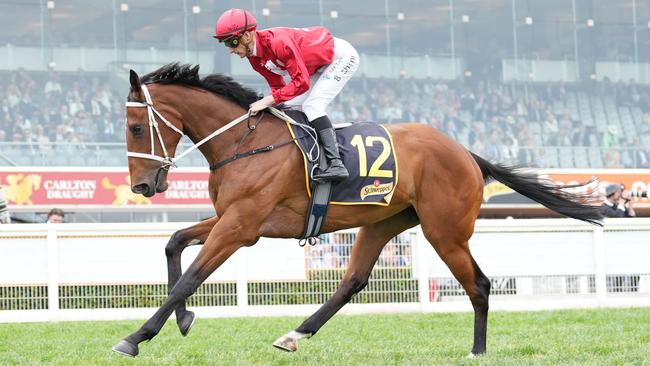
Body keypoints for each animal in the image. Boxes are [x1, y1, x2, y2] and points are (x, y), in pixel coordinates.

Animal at [110, 63, 596, 358]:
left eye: (135, 128)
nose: (142, 186)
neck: (246, 142)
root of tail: (466, 152)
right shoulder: (232, 217)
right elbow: (174, 243)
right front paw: (184, 320)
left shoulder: (241, 226)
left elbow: (190, 278)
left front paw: (135, 337)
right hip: (381, 223)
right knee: (352, 282)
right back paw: (294, 334)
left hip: (445, 230)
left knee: (478, 283)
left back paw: (477, 351)